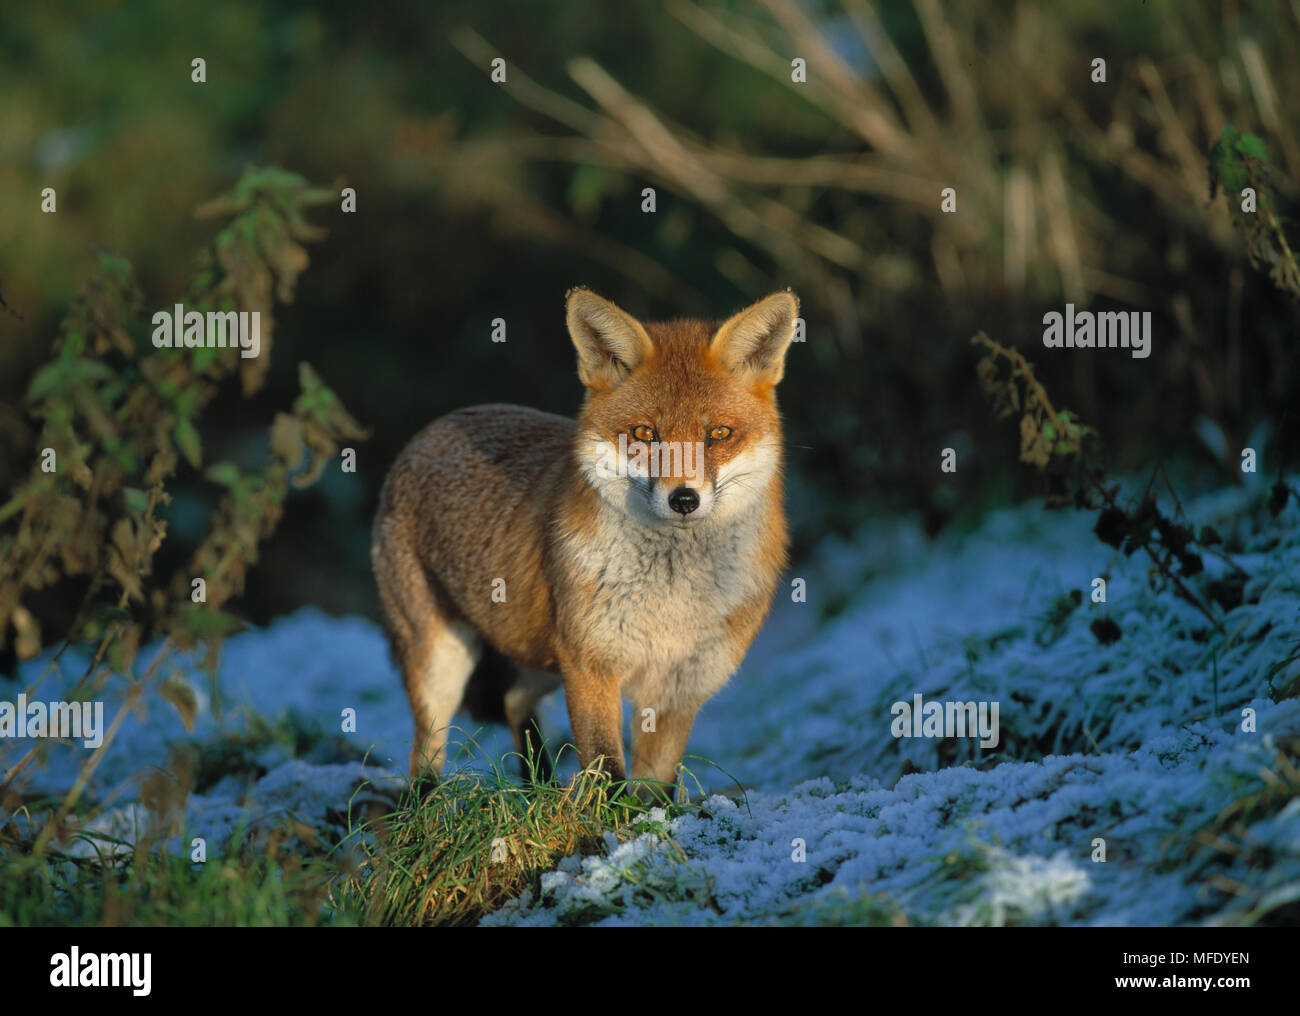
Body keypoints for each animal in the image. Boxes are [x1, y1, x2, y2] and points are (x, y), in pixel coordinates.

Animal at [371, 288, 795, 805]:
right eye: (644, 434)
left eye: (718, 434)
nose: (684, 499)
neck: (672, 601)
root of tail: (433, 427)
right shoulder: (591, 664)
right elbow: (607, 770)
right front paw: (604, 824)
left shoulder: (679, 685)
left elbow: (655, 786)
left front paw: (646, 824)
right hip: (444, 661)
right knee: (426, 749)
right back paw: (428, 803)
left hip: (541, 654)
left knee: (515, 700)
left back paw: (538, 787)